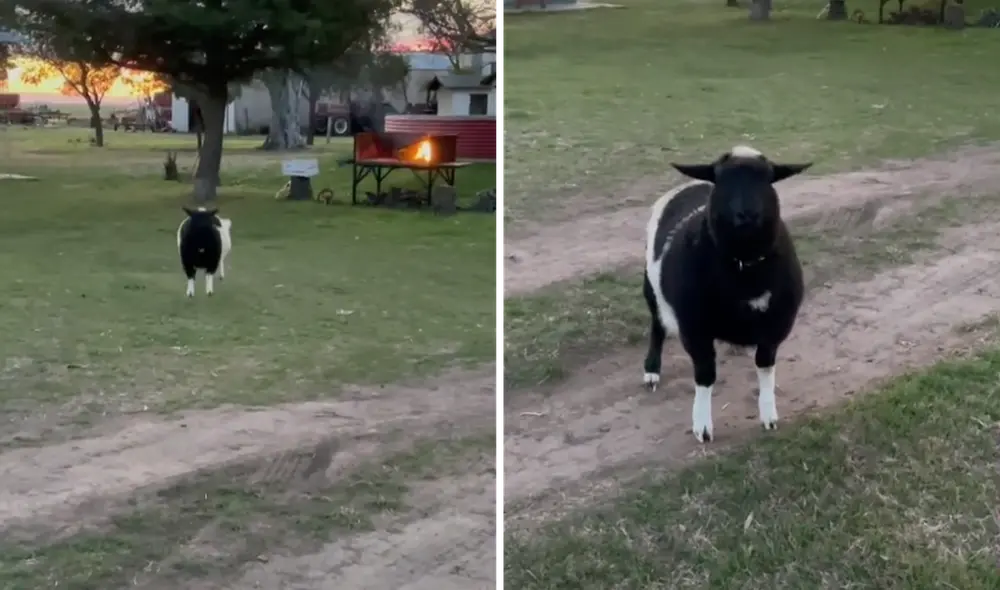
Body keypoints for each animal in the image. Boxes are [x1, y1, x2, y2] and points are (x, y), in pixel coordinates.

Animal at [642, 145, 811, 443]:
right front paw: (702, 427)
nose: (747, 214)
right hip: (652, 290)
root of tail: (692, 185)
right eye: (722, 180)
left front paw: (768, 416)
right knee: (658, 325)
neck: (744, 267)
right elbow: (705, 373)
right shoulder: (694, 329)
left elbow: (765, 365)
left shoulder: (776, 325)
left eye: (768, 179)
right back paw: (651, 370)